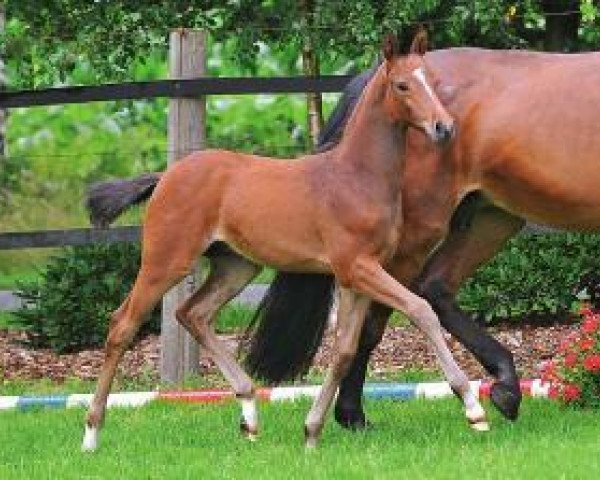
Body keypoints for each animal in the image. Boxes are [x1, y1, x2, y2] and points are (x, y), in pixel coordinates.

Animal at [83, 32, 488, 450]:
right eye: (402, 85)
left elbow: (343, 351)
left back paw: (249, 411)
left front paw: (311, 432)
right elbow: (421, 309)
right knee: (122, 325)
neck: (356, 176)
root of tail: (165, 176)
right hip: (167, 260)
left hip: (237, 266)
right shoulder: (356, 267)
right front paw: (472, 406)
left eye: (434, 82)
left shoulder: (357, 276)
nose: (444, 127)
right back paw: (91, 434)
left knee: (192, 313)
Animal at [248, 47, 600, 428]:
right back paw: (353, 415)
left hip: (488, 218)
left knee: (434, 289)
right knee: (377, 319)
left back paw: (505, 389)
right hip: (413, 238)